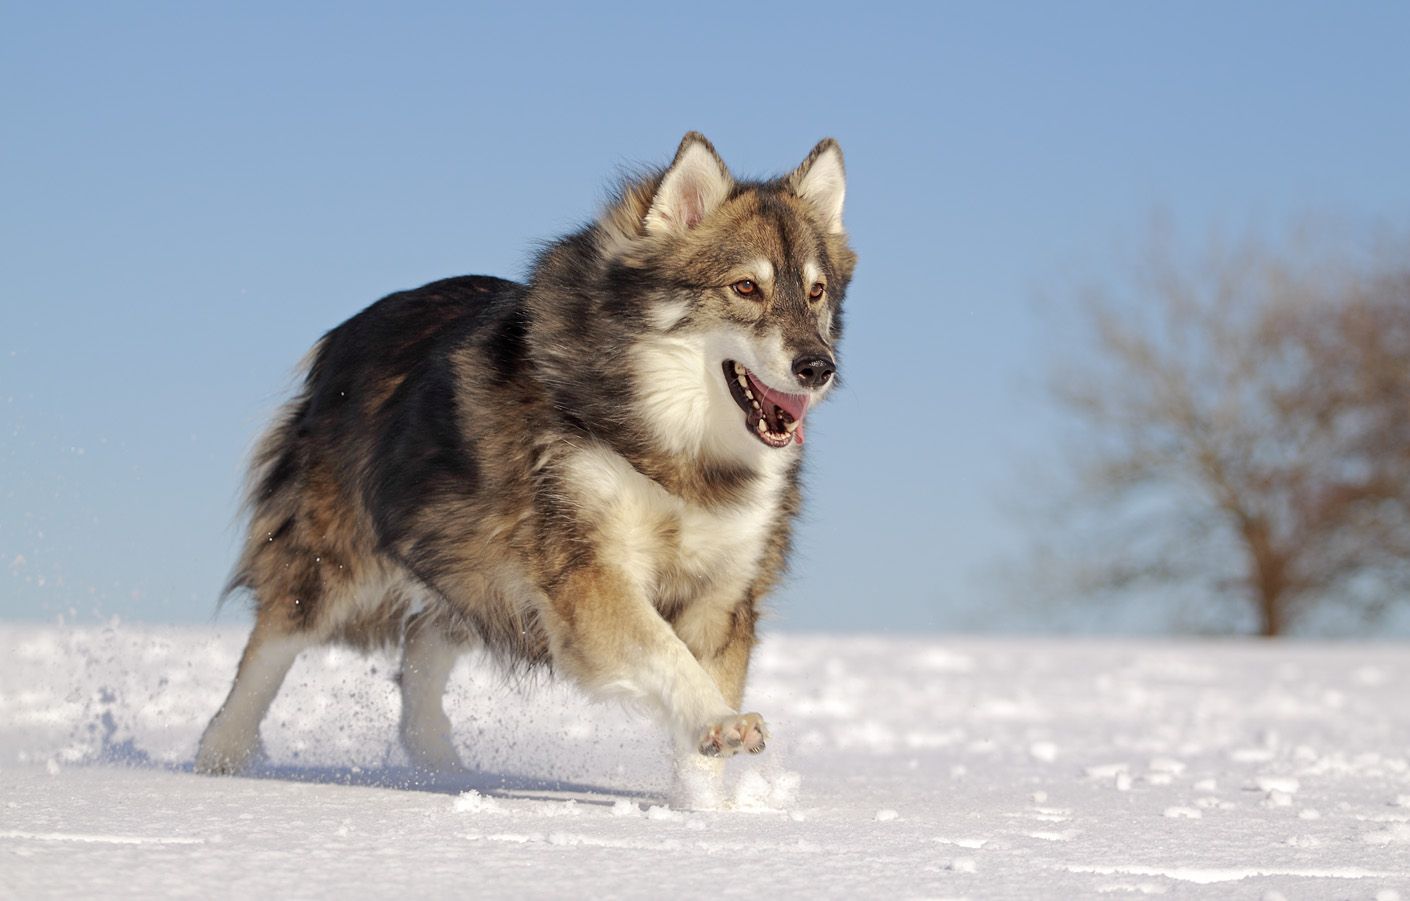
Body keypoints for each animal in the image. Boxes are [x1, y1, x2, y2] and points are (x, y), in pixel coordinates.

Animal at [198, 132, 857, 800]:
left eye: (815, 292)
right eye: (745, 287)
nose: (818, 367)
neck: (678, 449)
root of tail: (342, 335)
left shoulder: (725, 592)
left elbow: (697, 742)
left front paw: (708, 812)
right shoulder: (586, 574)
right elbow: (666, 653)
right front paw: (722, 722)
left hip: (466, 557)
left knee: (421, 651)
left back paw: (444, 772)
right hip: (336, 562)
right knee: (271, 645)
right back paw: (218, 758)